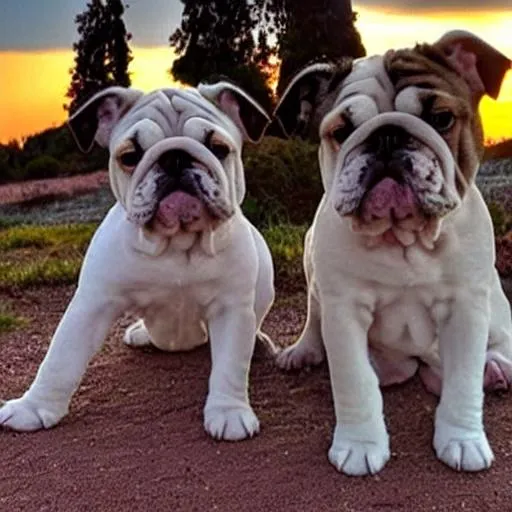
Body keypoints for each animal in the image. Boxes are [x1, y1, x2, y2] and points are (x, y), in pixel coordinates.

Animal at [0, 82, 276, 442]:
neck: (177, 243)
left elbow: (230, 365)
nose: (175, 156)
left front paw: (229, 412)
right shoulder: (93, 303)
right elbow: (60, 358)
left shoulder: (231, 308)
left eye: (218, 148)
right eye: (130, 156)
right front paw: (33, 408)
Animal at [274, 30, 512, 474]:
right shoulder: (343, 309)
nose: (386, 135)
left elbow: (463, 382)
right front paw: (360, 445)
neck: (403, 238)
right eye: (342, 130)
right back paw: (305, 352)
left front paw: (463, 440)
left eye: (441, 118)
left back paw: (496, 367)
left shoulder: (467, 307)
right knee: (316, 319)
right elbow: (354, 381)